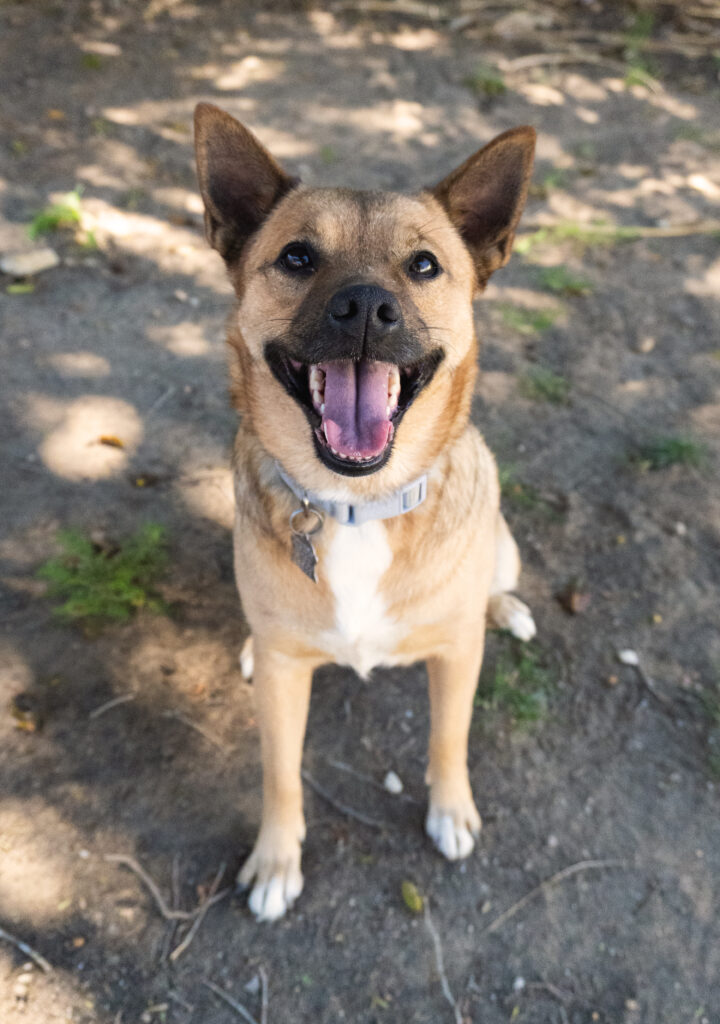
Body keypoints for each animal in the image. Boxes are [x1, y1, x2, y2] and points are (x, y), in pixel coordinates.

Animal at [194, 102, 537, 921]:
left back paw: (505, 607)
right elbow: (279, 771)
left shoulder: (456, 660)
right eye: (296, 257)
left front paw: (450, 810)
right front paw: (276, 859)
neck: (353, 507)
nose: (364, 309)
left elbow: (449, 737)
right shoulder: (286, 684)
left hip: (503, 546)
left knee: (496, 584)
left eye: (424, 266)